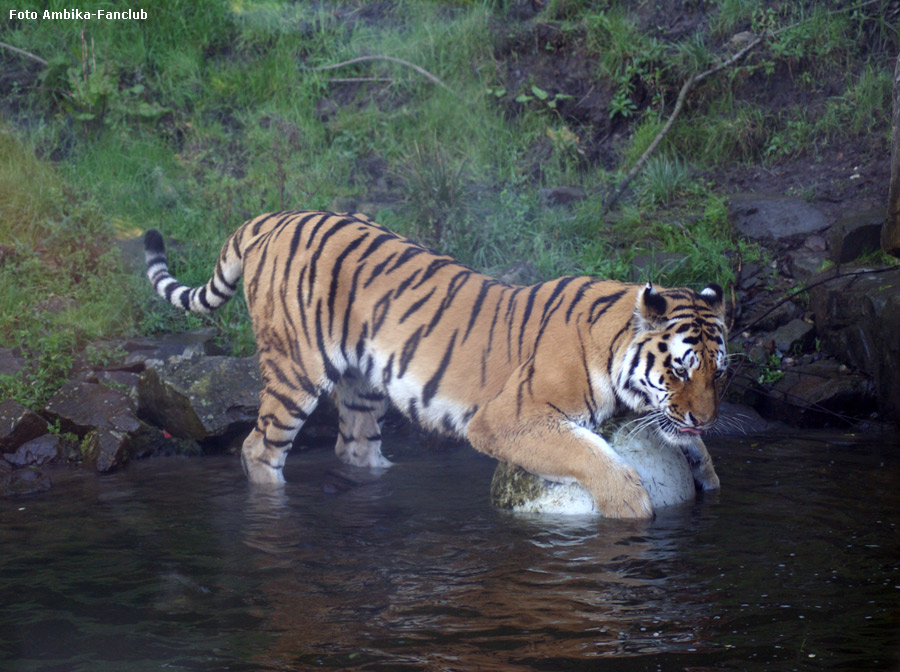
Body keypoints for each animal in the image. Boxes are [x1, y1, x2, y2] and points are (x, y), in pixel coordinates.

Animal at [144, 210, 728, 520]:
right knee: (259, 449)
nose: (706, 419)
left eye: (717, 373)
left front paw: (707, 468)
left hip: (363, 383)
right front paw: (630, 503)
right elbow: (585, 451)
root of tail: (275, 216)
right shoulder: (508, 419)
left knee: (354, 446)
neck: (611, 342)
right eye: (680, 369)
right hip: (294, 370)